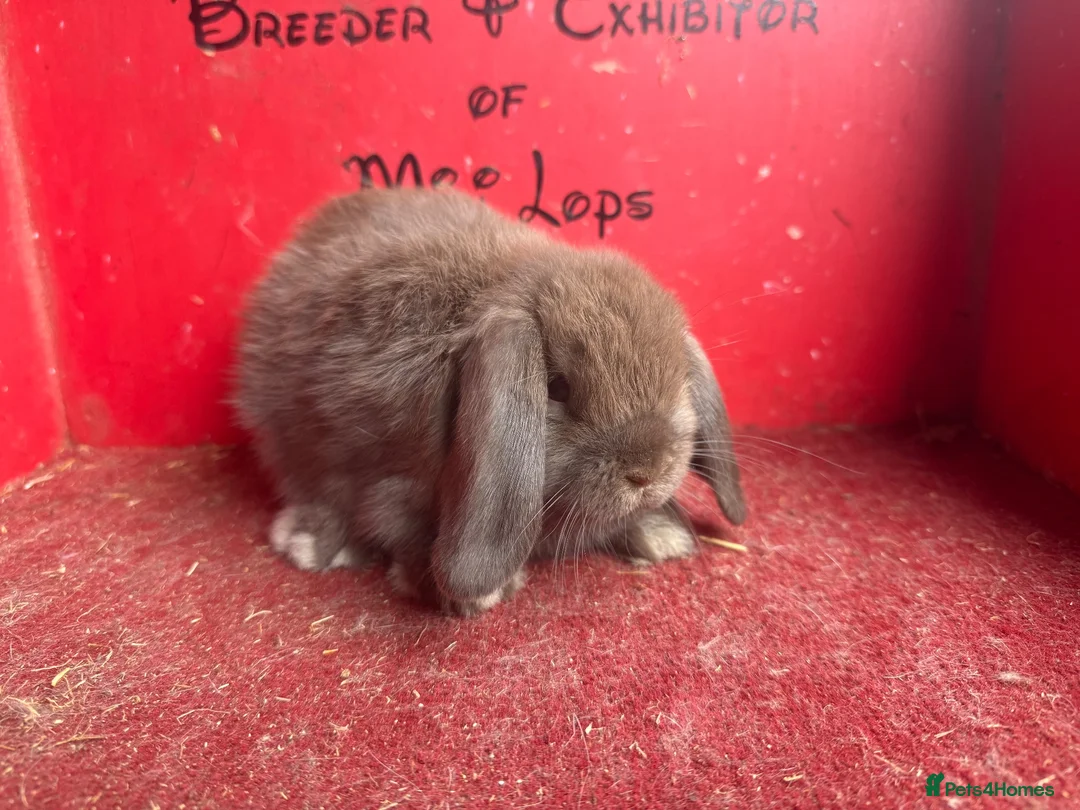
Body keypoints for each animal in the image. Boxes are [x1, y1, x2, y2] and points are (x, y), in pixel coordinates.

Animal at [233, 186, 746, 616]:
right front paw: (473, 597)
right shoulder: (391, 486)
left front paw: (663, 535)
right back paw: (311, 542)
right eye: (557, 388)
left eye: (679, 378)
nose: (648, 472)